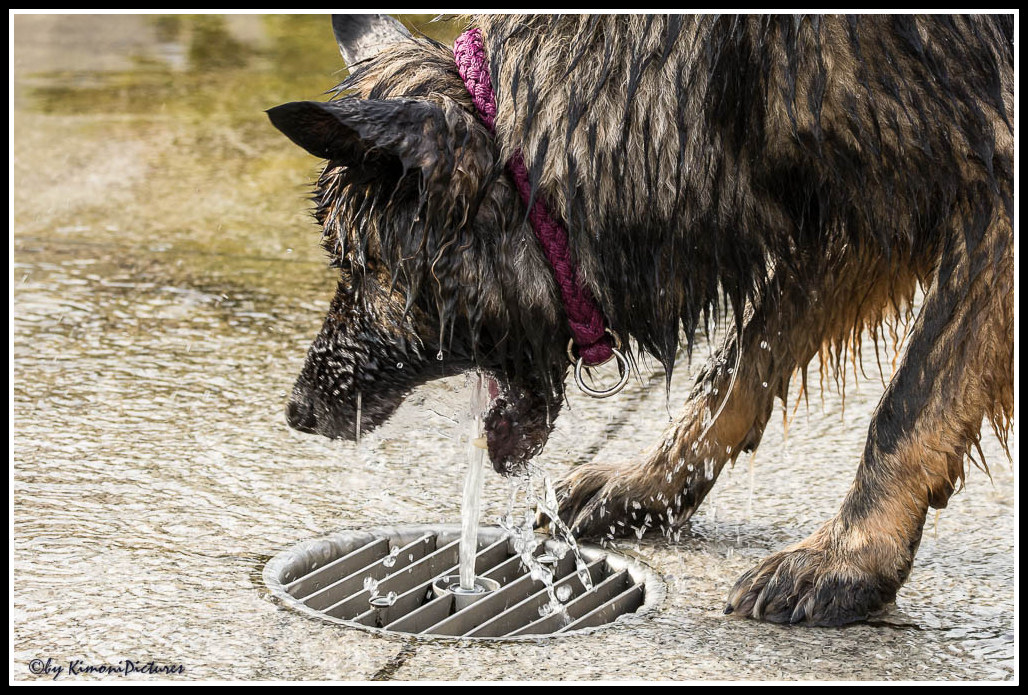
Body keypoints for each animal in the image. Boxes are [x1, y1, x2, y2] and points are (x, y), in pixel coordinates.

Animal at [269, 14, 1015, 625]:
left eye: (356, 262)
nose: (298, 412)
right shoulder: (872, 204)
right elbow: (739, 366)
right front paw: (651, 484)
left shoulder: (987, 192)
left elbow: (908, 405)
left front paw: (850, 558)